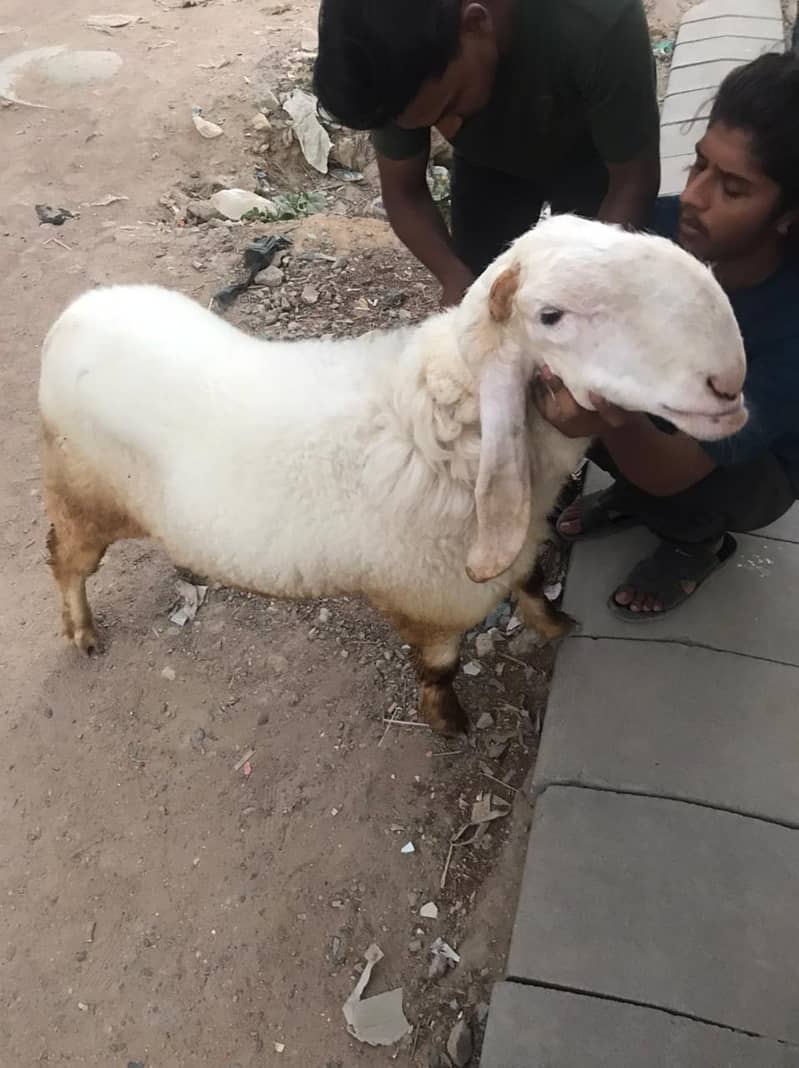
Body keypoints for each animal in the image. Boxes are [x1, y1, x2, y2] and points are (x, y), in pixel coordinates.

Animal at [39, 214, 747, 735]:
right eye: (551, 316)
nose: (729, 382)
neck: (443, 426)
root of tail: (73, 316)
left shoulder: (516, 548)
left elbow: (532, 589)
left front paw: (559, 628)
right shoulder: (428, 597)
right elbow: (441, 665)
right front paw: (449, 722)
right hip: (80, 492)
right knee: (65, 560)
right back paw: (82, 631)